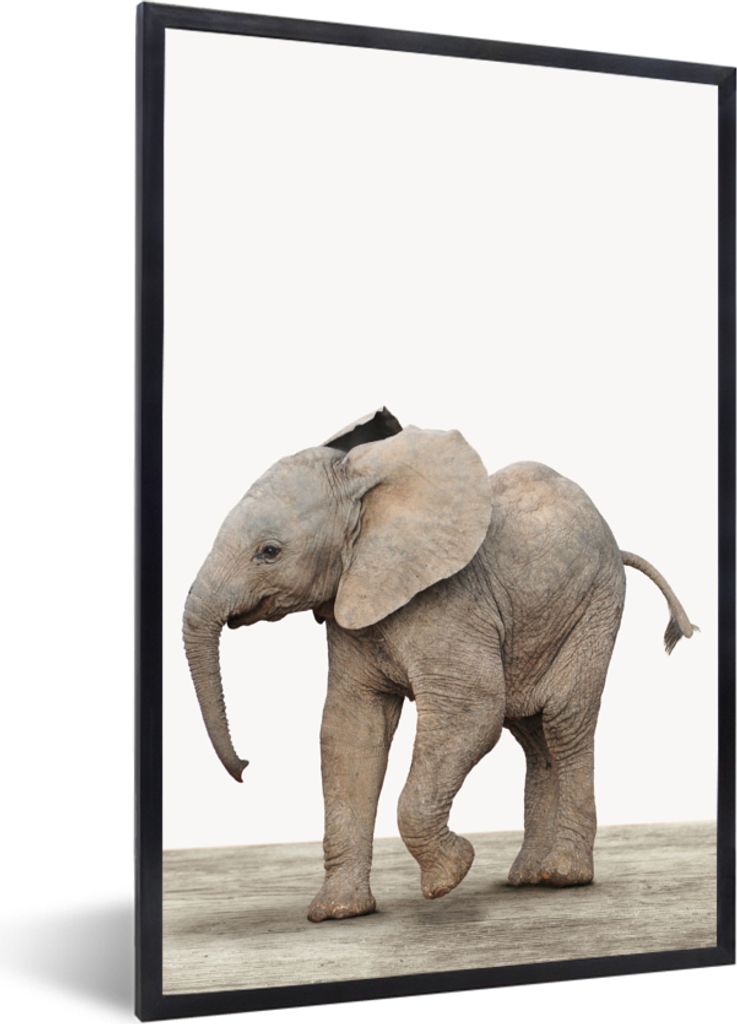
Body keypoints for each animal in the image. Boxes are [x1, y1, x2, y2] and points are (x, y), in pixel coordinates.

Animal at [182, 408, 696, 922]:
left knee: (564, 721)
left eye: (269, 551)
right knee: (533, 734)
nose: (246, 767)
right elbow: (351, 731)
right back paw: (528, 877)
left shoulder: (449, 602)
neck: (367, 486)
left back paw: (564, 876)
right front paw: (337, 913)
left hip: (594, 605)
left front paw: (451, 874)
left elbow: (472, 711)